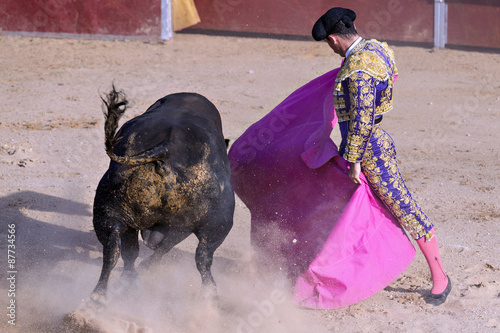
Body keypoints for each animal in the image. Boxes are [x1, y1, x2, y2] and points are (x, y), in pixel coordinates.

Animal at [91, 88, 234, 300]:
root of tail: (165, 149)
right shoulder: (183, 226)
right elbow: (165, 247)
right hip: (216, 224)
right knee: (202, 257)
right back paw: (210, 296)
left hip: (110, 212)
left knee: (113, 252)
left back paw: (101, 296)